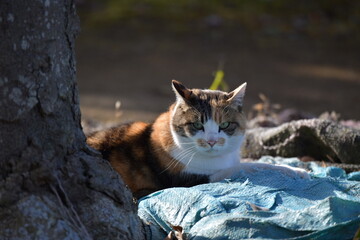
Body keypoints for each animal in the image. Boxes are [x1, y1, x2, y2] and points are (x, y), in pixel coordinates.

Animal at [87, 79, 310, 198]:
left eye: (225, 125)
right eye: (196, 125)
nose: (211, 141)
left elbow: (259, 163)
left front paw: (298, 171)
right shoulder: (186, 180)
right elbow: (239, 168)